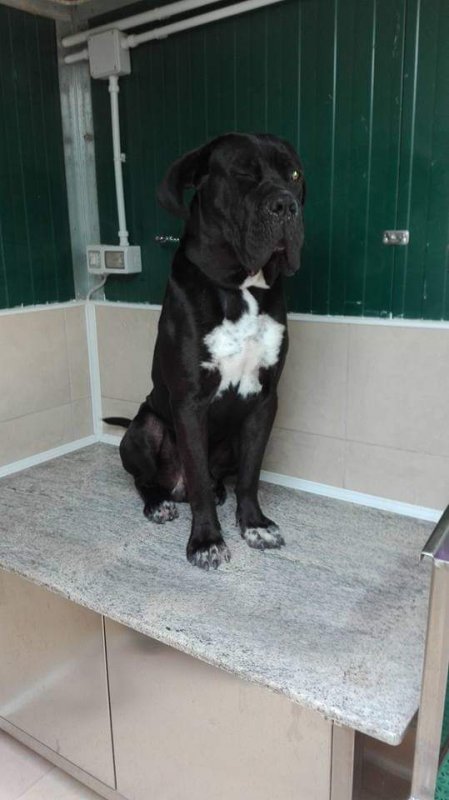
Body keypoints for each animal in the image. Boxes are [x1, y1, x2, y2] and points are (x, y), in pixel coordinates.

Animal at [105, 133, 305, 570]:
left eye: (295, 175)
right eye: (243, 173)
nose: (286, 205)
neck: (242, 287)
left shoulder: (265, 401)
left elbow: (250, 474)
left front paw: (254, 524)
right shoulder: (190, 403)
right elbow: (196, 475)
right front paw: (206, 540)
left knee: (216, 478)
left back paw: (217, 491)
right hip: (144, 428)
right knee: (147, 479)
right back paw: (159, 503)